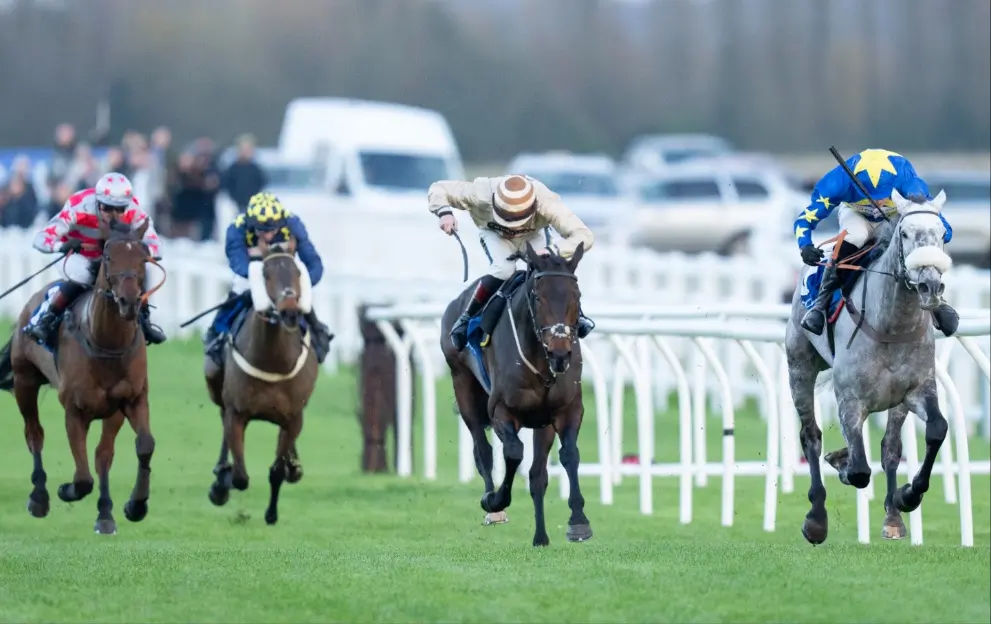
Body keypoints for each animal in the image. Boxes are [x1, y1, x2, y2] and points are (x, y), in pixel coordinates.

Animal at [440, 241, 588, 544]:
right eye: (539, 298)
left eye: (576, 296)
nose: (560, 354)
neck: (541, 362)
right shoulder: (501, 412)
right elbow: (513, 453)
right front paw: (497, 500)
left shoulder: (566, 410)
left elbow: (568, 455)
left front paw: (578, 520)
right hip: (463, 385)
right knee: (482, 450)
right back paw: (493, 506)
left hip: (542, 422)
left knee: (538, 473)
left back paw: (541, 537)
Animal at [788, 188, 956, 544]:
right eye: (904, 233)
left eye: (940, 234)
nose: (930, 286)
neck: (892, 325)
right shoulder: (850, 399)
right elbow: (859, 471)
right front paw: (842, 463)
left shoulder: (918, 389)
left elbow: (936, 429)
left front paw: (907, 496)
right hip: (799, 366)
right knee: (811, 435)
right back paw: (816, 518)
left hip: (896, 402)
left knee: (890, 448)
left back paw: (893, 517)